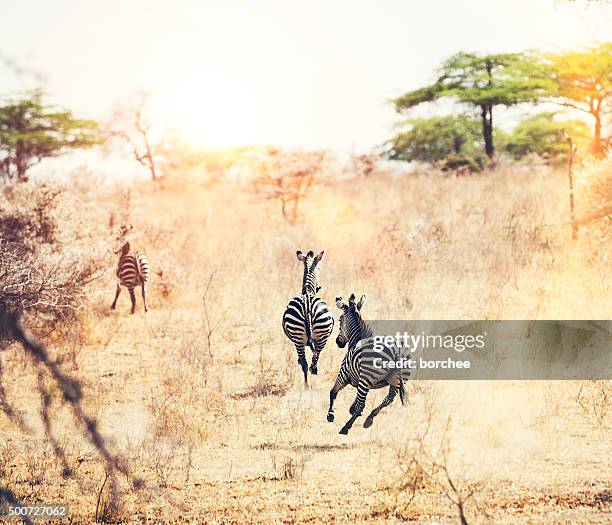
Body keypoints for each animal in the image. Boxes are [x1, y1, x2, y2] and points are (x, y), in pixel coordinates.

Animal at [282, 250, 334, 384]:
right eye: (320, 268)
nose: (319, 287)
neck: (308, 291)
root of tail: (308, 307)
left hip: (300, 337)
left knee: (307, 362)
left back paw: (307, 384)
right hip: (319, 336)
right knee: (312, 362)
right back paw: (309, 382)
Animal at [328, 294, 408, 434]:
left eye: (339, 320)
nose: (338, 342)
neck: (357, 339)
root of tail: (395, 353)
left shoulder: (343, 374)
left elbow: (333, 392)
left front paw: (330, 415)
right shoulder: (361, 382)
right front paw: (352, 409)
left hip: (367, 378)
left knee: (362, 404)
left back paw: (345, 427)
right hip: (396, 380)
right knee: (389, 398)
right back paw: (369, 419)